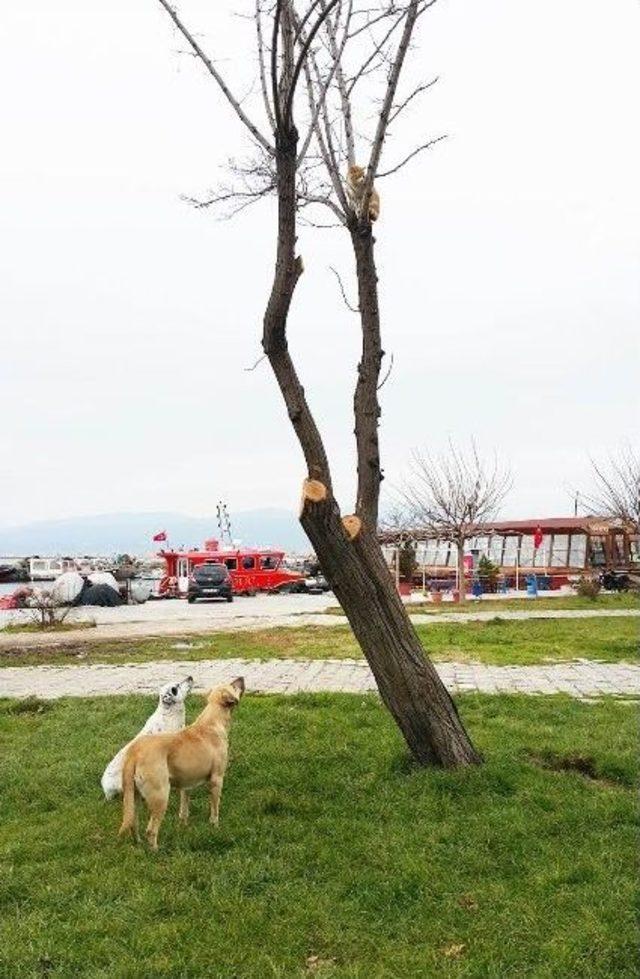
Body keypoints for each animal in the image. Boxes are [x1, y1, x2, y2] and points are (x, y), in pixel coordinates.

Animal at [119, 676, 244, 852]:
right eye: (233, 686)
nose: (241, 677)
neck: (212, 721)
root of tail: (134, 753)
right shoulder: (217, 779)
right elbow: (215, 808)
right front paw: (215, 825)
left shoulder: (187, 784)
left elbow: (184, 810)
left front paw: (184, 826)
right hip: (160, 796)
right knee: (151, 830)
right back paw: (156, 851)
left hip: (133, 798)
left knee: (133, 823)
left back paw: (139, 844)